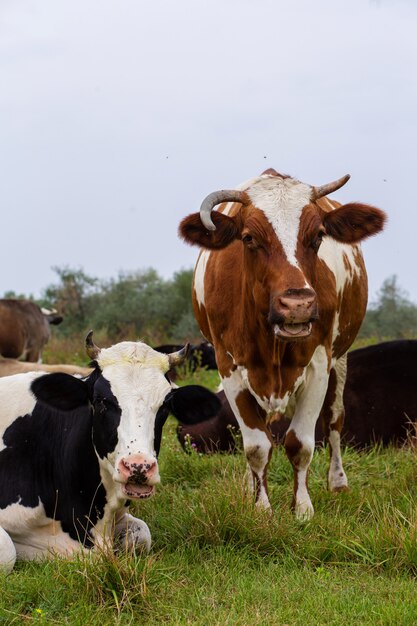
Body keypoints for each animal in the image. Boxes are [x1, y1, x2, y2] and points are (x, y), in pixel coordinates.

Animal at [179, 168, 384, 520]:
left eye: (318, 236)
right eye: (248, 238)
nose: (297, 305)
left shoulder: (319, 364)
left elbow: (300, 443)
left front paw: (301, 508)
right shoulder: (228, 365)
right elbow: (256, 445)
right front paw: (261, 507)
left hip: (340, 360)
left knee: (334, 419)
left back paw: (338, 482)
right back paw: (249, 487)